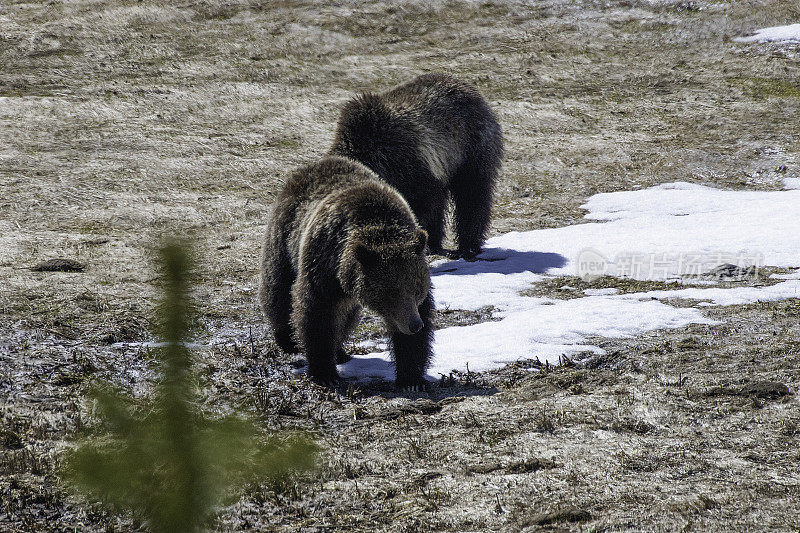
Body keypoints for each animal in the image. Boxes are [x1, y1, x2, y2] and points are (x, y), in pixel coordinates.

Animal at [260, 154, 434, 386]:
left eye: (417, 288)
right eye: (390, 291)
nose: (414, 325)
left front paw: (412, 378)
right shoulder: (323, 264)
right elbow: (316, 313)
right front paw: (325, 373)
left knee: (346, 315)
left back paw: (340, 351)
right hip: (285, 240)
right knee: (278, 288)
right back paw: (287, 339)